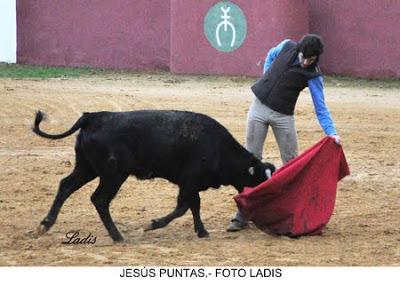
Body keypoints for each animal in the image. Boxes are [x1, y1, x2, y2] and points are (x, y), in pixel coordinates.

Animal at [33, 110, 276, 241]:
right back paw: (117, 236)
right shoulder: (190, 181)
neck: (218, 148)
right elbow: (184, 207)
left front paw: (201, 231)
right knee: (99, 199)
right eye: (259, 180)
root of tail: (92, 117)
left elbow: (192, 206)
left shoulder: (191, 184)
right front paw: (153, 224)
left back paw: (45, 224)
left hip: (86, 168)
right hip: (113, 174)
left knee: (66, 185)